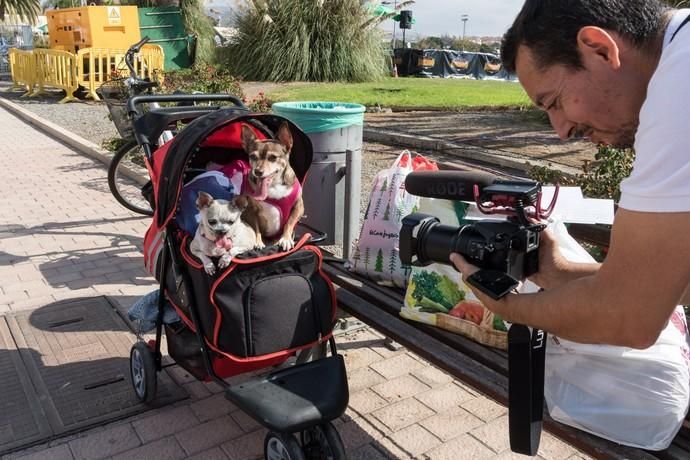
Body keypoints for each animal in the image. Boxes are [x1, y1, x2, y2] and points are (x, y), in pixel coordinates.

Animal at [241, 122, 302, 250]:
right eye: (253, 157)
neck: (273, 186)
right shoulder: (251, 210)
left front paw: (286, 239)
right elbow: (256, 227)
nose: (258, 171)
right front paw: (258, 241)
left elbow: (289, 222)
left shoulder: (299, 206)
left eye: (273, 158)